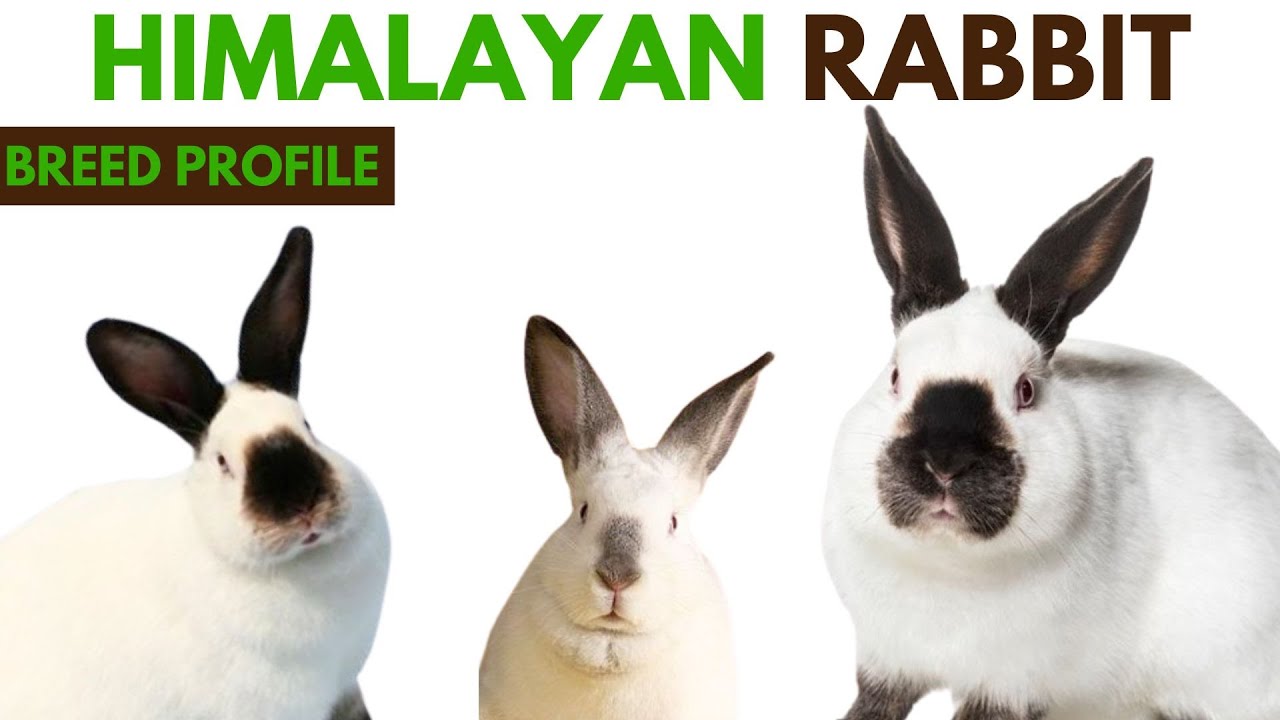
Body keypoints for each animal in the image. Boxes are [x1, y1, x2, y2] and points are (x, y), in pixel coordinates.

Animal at [822, 107, 1280, 720]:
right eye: (895, 376)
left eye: (1025, 391)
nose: (944, 463)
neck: (948, 562)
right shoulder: (885, 660)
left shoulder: (1010, 683)